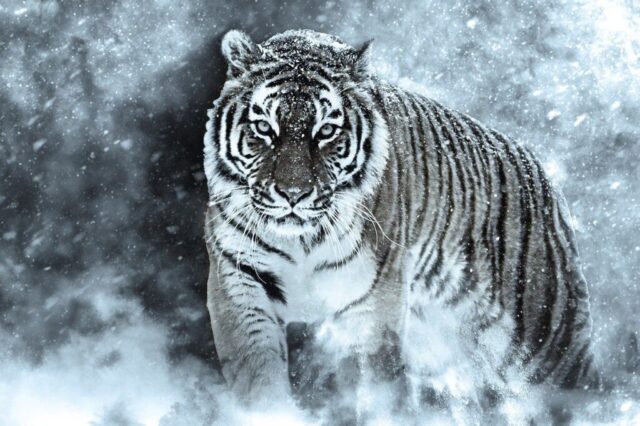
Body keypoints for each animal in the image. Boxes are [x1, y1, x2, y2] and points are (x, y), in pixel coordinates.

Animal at [202, 29, 600, 411]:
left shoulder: (372, 306)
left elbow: (372, 390)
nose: (293, 194)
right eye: (264, 128)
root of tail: (538, 167)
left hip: (547, 340)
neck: (303, 240)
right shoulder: (239, 283)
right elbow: (258, 380)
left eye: (326, 131)